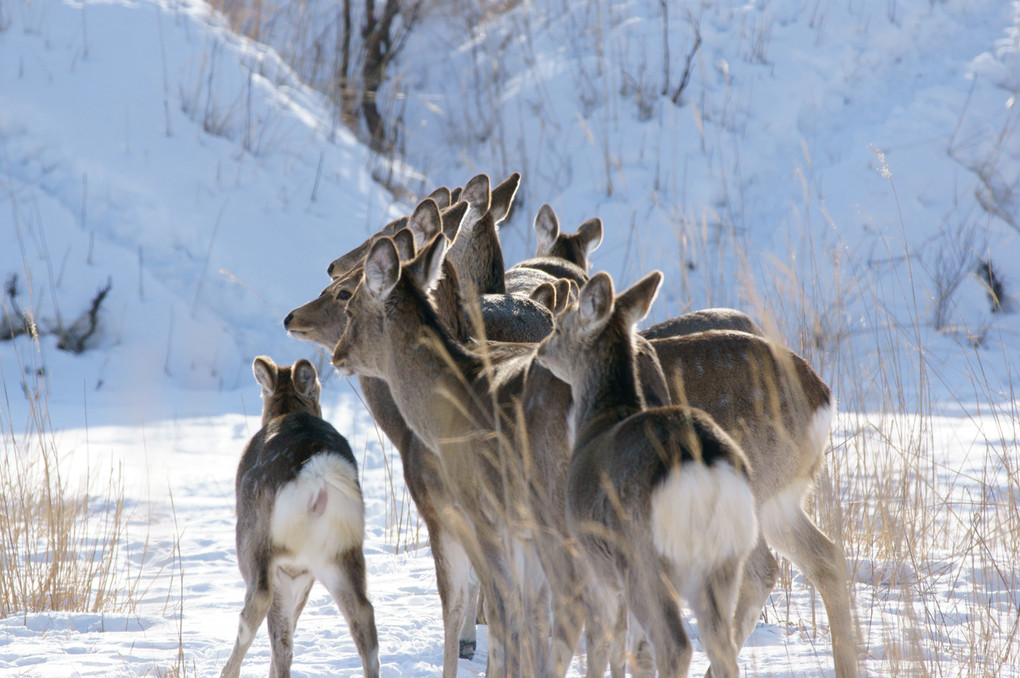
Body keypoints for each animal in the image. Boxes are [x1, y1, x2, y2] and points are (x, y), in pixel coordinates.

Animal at [221, 354, 381, 676]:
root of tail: (318, 478)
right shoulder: (303, 572)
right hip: (341, 550)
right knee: (363, 614)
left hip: (258, 544)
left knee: (263, 610)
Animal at [534, 269, 758, 676]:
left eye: (558, 326)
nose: (541, 350)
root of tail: (702, 469)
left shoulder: (591, 559)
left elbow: (600, 644)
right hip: (726, 558)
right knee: (722, 648)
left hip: (645, 557)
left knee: (675, 644)